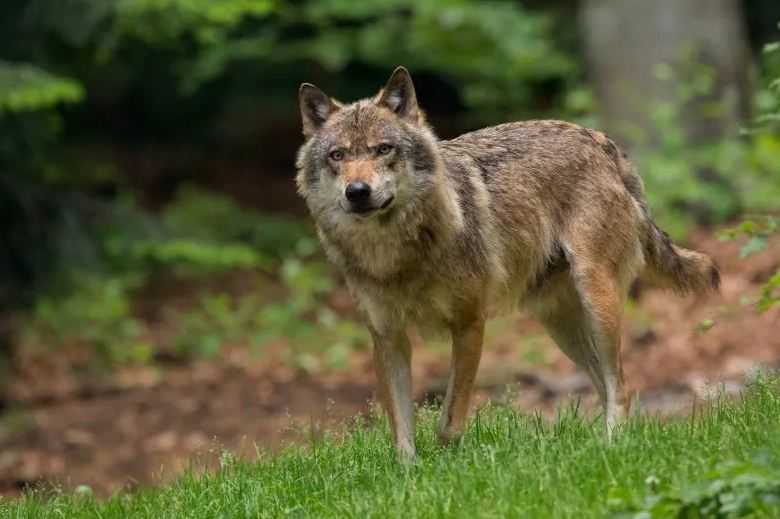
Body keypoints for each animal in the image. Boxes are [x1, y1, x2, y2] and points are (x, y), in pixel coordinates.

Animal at [294, 67, 720, 462]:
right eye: (337, 156)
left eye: (383, 149)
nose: (357, 192)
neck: (394, 255)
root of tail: (599, 140)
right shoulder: (387, 338)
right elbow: (401, 430)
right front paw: (409, 477)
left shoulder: (469, 324)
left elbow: (449, 420)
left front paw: (447, 466)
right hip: (561, 326)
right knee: (603, 385)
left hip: (597, 303)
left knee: (622, 386)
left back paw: (612, 446)